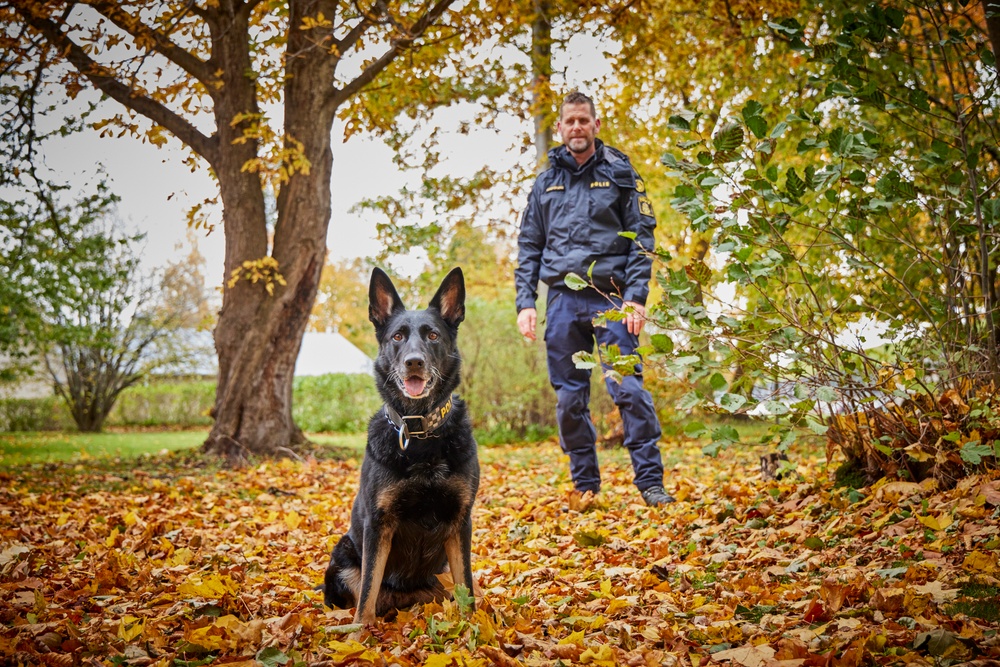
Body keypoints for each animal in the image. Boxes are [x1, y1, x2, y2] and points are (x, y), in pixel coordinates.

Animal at [320, 268, 476, 628]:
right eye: (397, 337)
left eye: (432, 335)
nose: (413, 362)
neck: (419, 433)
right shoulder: (378, 526)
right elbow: (367, 592)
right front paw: (358, 635)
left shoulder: (460, 522)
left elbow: (468, 588)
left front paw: (476, 629)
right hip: (343, 555)